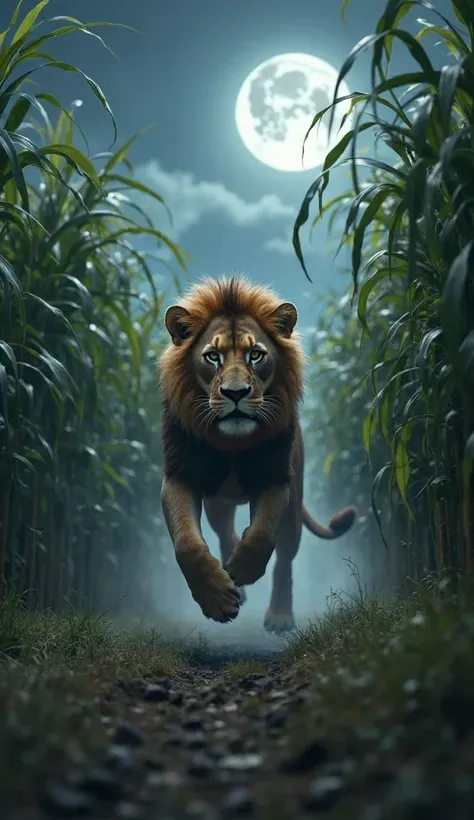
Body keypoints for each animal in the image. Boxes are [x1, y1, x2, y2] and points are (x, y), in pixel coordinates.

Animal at [159, 275, 357, 633]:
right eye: (213, 357)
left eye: (255, 355)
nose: (235, 393)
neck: (232, 444)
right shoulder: (181, 475)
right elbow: (187, 544)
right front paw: (218, 598)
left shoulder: (275, 477)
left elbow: (263, 534)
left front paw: (245, 568)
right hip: (218, 503)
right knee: (223, 532)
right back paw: (230, 576)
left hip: (294, 502)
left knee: (285, 558)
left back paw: (278, 614)